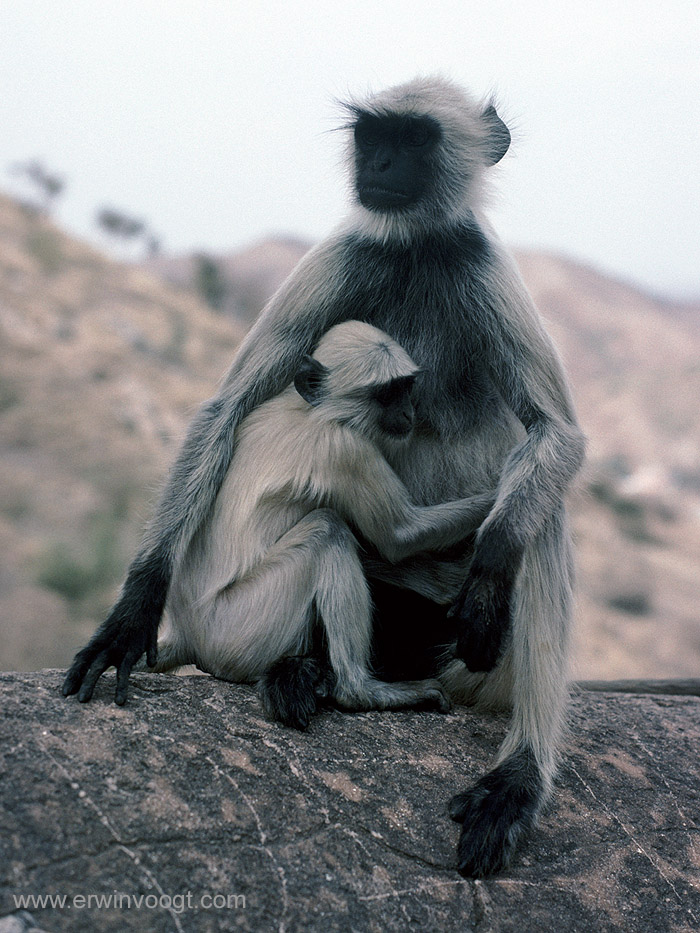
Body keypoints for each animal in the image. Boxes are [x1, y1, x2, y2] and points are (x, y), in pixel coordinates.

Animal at [145, 320, 495, 729]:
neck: (309, 409)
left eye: (405, 388)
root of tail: (186, 630)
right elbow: (400, 536)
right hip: (238, 627)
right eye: (387, 394)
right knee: (327, 529)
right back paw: (361, 691)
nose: (408, 411)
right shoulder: (344, 447)